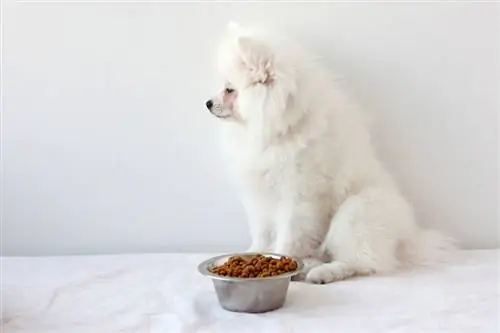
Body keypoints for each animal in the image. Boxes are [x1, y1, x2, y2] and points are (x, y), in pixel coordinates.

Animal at [205, 22, 456, 282]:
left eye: (230, 90)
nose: (208, 103)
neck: (280, 129)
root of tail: (407, 241)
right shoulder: (261, 194)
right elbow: (262, 231)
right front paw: (254, 253)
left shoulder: (299, 196)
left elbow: (288, 235)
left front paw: (282, 261)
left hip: (355, 213)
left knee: (360, 262)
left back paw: (323, 272)